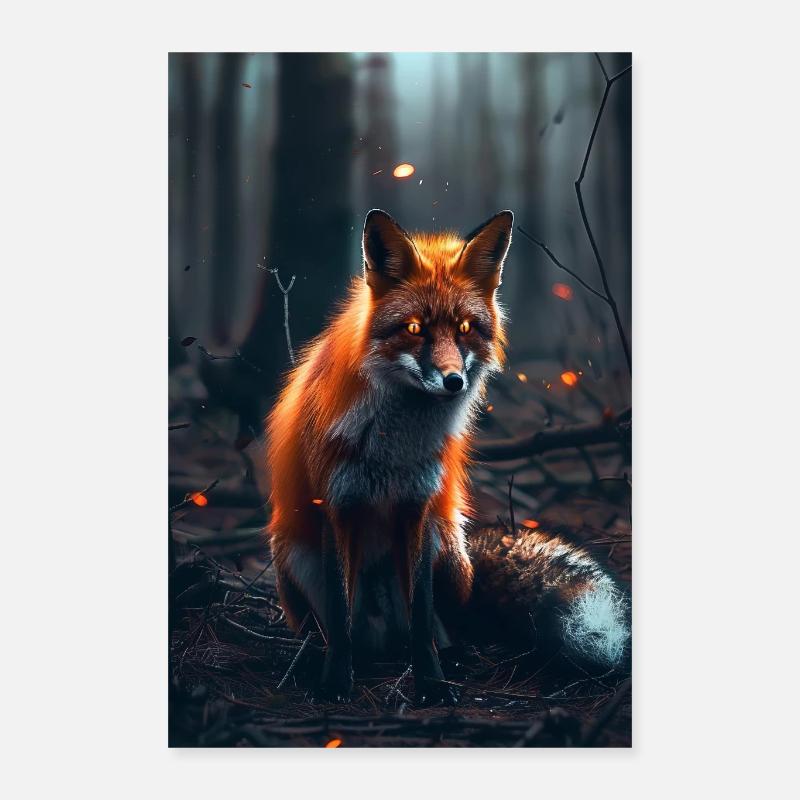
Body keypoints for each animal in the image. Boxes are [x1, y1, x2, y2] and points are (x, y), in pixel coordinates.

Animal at [266, 209, 629, 704]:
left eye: (464, 330)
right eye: (414, 328)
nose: (454, 381)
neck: (394, 447)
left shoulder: (417, 507)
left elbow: (421, 617)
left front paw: (433, 683)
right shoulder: (337, 506)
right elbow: (340, 621)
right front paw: (336, 681)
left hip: (448, 550)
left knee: (443, 628)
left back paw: (453, 656)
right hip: (296, 556)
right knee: (342, 632)